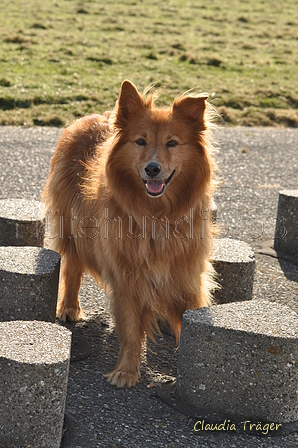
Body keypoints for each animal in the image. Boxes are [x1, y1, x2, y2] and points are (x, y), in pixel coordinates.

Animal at [42, 81, 217, 388]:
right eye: (140, 141)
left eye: (172, 143)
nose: (152, 168)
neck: (157, 215)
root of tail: (92, 117)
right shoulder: (126, 276)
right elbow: (132, 329)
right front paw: (125, 371)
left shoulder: (186, 276)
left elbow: (187, 322)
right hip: (72, 228)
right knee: (72, 266)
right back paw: (69, 307)